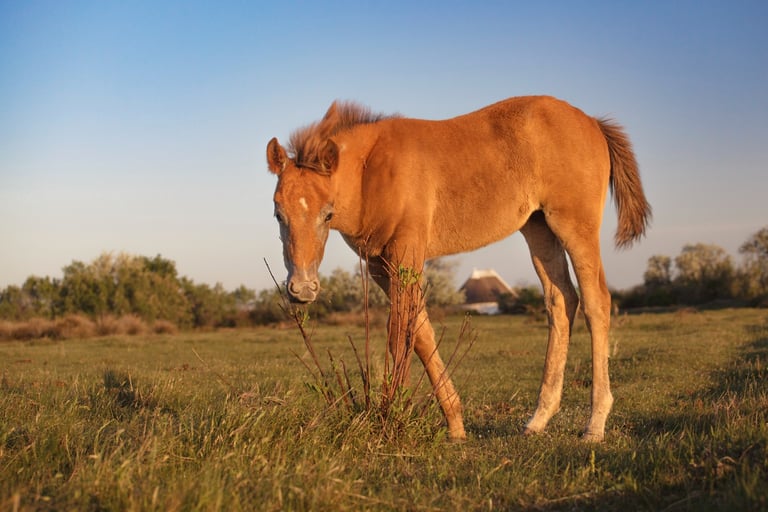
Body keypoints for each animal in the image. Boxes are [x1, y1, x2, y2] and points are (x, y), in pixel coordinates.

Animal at [266, 95, 651, 442]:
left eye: (327, 214)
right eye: (277, 214)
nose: (302, 289)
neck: (371, 172)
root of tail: (592, 122)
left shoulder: (406, 253)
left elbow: (399, 334)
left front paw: (392, 415)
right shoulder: (380, 265)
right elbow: (421, 333)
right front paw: (454, 423)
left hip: (575, 226)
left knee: (596, 301)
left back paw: (595, 424)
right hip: (539, 227)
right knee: (561, 301)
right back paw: (538, 419)